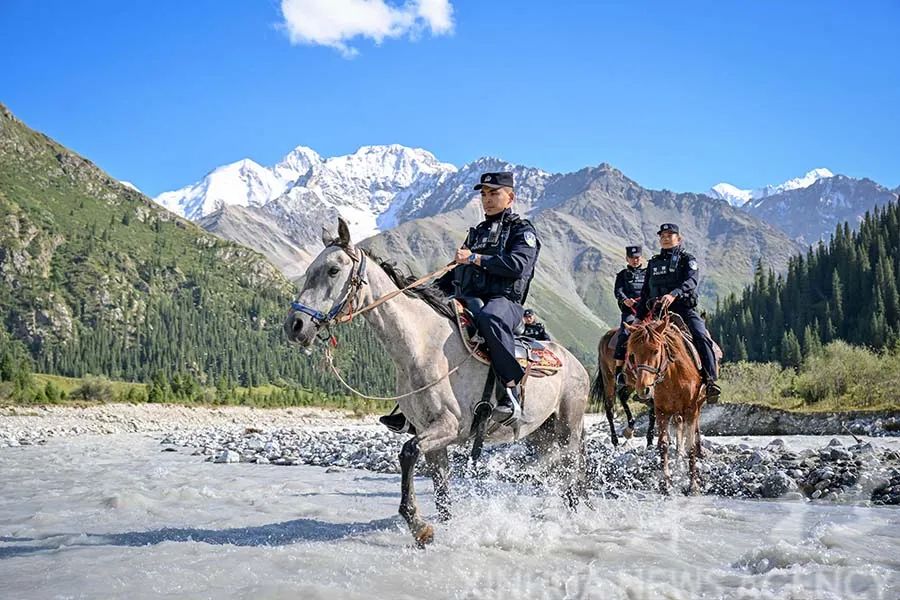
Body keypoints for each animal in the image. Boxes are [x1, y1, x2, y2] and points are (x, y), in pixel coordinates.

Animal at [284, 218, 592, 548]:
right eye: (309, 270)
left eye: (333, 270)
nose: (295, 326)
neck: (422, 346)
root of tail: (576, 364)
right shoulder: (431, 435)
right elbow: (442, 492)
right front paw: (441, 529)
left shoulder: (448, 426)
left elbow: (407, 452)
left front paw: (419, 525)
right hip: (540, 433)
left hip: (568, 426)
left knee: (570, 468)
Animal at [624, 316, 708, 494]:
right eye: (633, 354)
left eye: (656, 351)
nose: (643, 389)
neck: (673, 377)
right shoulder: (661, 411)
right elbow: (663, 445)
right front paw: (666, 483)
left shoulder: (691, 409)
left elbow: (690, 444)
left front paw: (693, 485)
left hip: (698, 405)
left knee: (695, 430)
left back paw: (698, 452)